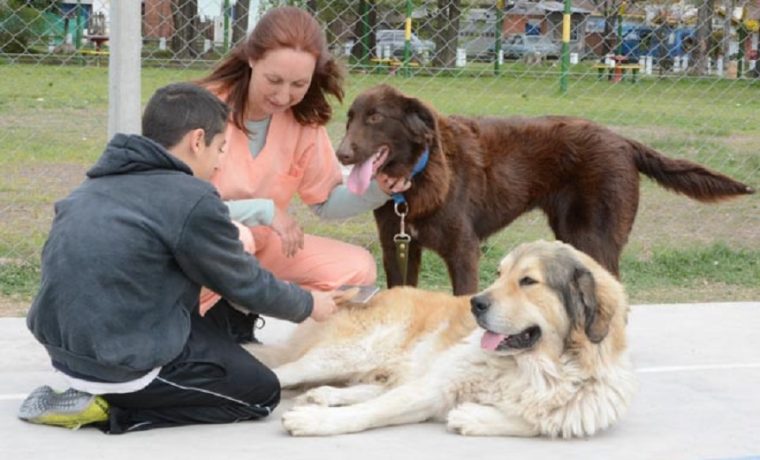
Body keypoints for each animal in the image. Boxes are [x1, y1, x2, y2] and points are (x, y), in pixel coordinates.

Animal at [260, 241, 636, 438]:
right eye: (499, 274)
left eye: (528, 281)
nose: (476, 303)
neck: (535, 366)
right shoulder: (434, 387)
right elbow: (375, 410)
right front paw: (317, 422)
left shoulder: (576, 412)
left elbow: (535, 422)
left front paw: (473, 416)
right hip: (346, 353)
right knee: (284, 373)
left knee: (374, 386)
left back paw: (324, 396)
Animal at [340, 84, 756, 294]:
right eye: (349, 118)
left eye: (375, 118)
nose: (341, 153)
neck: (418, 174)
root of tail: (623, 141)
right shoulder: (398, 246)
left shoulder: (463, 251)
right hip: (574, 233)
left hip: (595, 236)